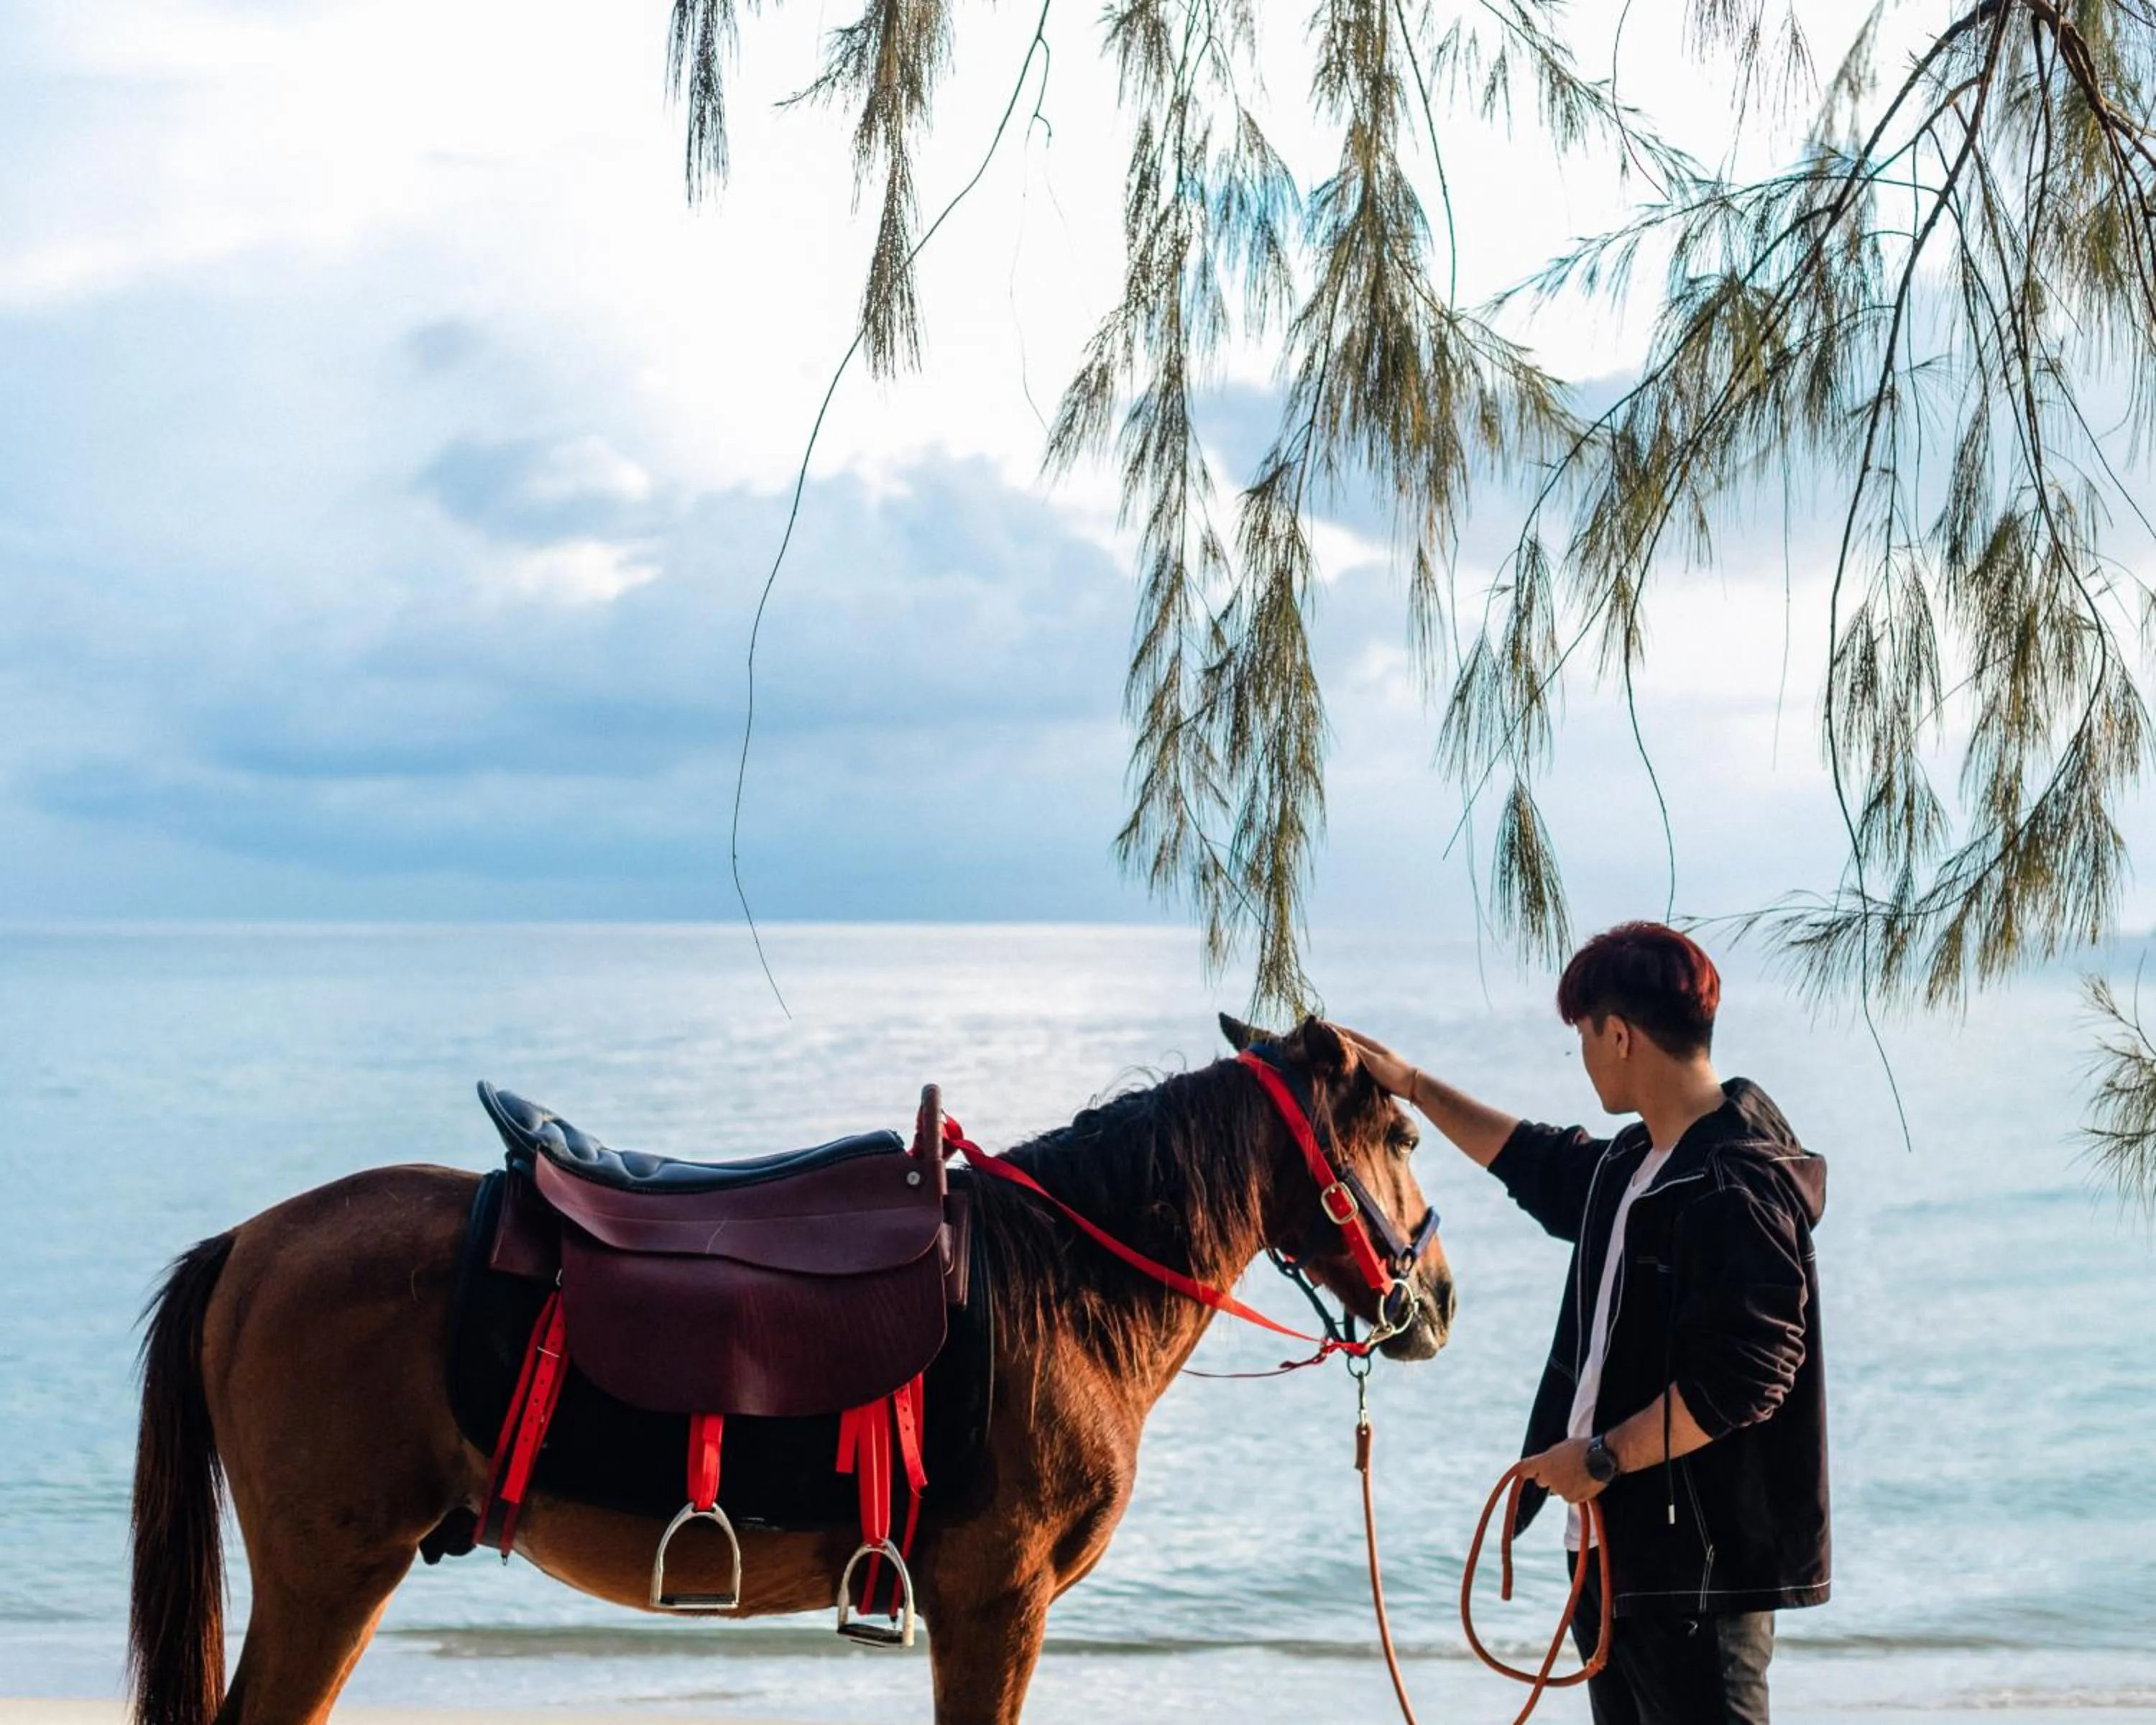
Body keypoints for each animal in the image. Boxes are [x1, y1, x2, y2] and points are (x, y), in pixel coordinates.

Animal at [129, 1015, 1454, 1725]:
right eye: (1399, 1133)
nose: (1434, 1299)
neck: (1067, 1280)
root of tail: (251, 1242)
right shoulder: (998, 1605)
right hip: (332, 1577)